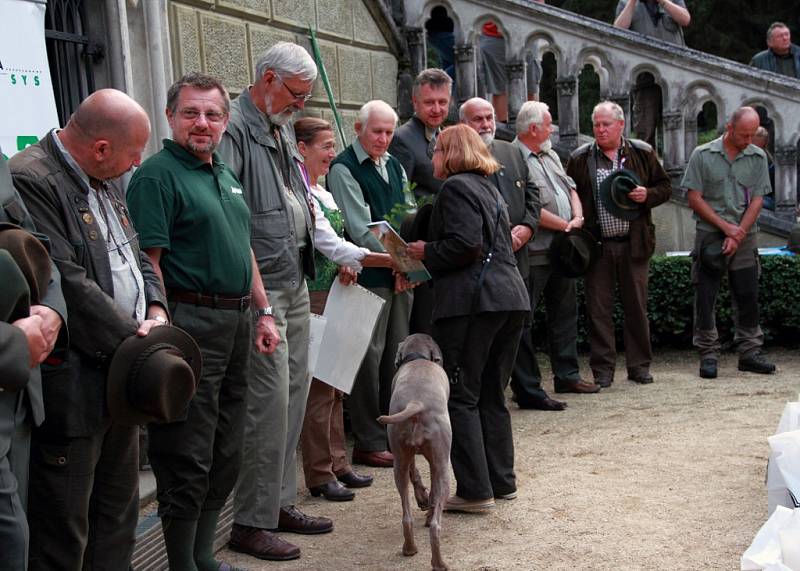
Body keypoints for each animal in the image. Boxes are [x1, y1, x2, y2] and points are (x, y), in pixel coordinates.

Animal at [378, 332, 454, 568]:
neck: (417, 358)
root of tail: (416, 403)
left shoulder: (405, 455)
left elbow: (415, 473)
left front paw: (421, 498)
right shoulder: (437, 462)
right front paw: (426, 504)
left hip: (398, 459)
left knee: (406, 516)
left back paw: (409, 549)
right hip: (443, 467)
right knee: (436, 525)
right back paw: (439, 563)